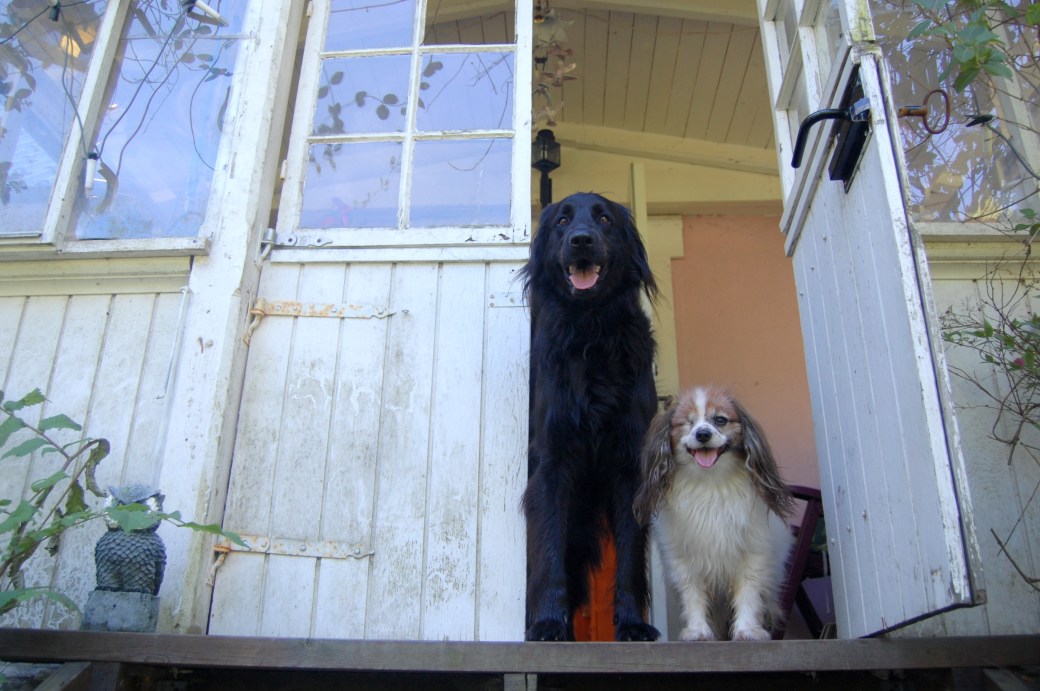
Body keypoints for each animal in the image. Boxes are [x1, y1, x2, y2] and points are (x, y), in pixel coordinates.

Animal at [521, 192, 661, 642]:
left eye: (604, 219)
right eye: (562, 221)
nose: (581, 240)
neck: (590, 331)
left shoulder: (631, 466)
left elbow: (631, 558)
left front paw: (633, 624)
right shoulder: (552, 464)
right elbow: (548, 554)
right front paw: (548, 623)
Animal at [633, 386, 795, 641]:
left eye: (720, 420)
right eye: (688, 423)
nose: (702, 434)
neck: (711, 482)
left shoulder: (753, 553)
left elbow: (748, 593)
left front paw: (747, 630)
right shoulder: (684, 559)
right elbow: (693, 595)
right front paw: (697, 631)